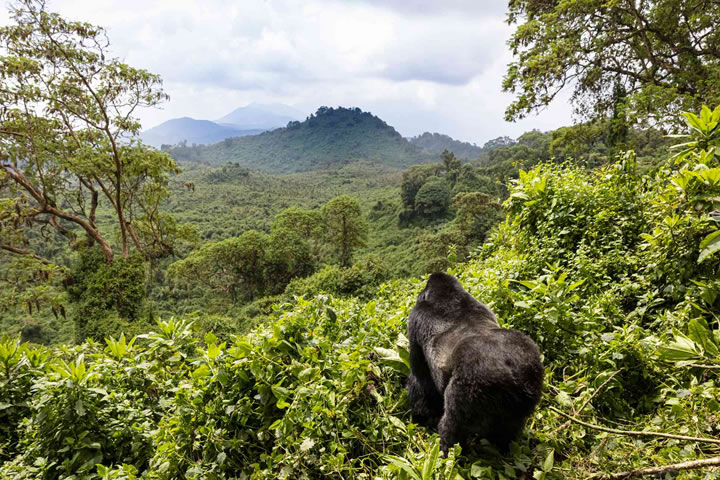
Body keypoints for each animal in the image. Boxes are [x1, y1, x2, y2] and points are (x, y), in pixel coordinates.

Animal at [408, 272, 544, 452]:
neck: (449, 296)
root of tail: (513, 373)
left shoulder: (415, 318)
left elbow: (419, 377)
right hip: (531, 375)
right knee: (510, 427)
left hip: (472, 384)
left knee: (453, 425)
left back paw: (449, 451)